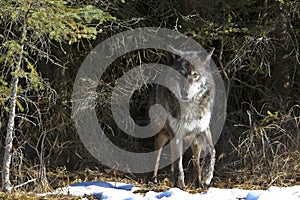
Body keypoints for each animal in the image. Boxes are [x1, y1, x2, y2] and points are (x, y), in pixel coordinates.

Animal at [150, 49, 216, 190]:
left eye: (195, 75)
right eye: (179, 75)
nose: (185, 93)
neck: (189, 107)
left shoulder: (203, 129)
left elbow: (211, 150)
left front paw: (207, 175)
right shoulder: (176, 135)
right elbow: (178, 165)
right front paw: (180, 186)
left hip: (195, 142)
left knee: (196, 162)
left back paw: (199, 183)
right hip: (162, 135)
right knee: (156, 156)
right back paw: (153, 180)